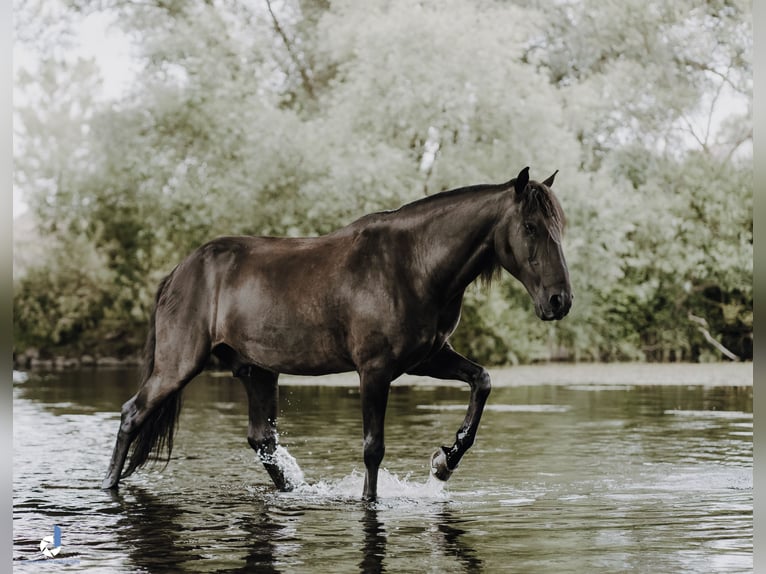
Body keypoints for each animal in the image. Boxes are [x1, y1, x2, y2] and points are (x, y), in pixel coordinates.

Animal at [100, 168, 568, 504]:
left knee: (261, 440)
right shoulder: (375, 371)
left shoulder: (427, 358)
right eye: (530, 227)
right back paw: (108, 485)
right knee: (132, 414)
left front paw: (444, 461)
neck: (412, 265)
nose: (559, 300)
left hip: (256, 371)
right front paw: (369, 500)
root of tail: (180, 270)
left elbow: (481, 381)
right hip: (178, 365)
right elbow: (373, 447)